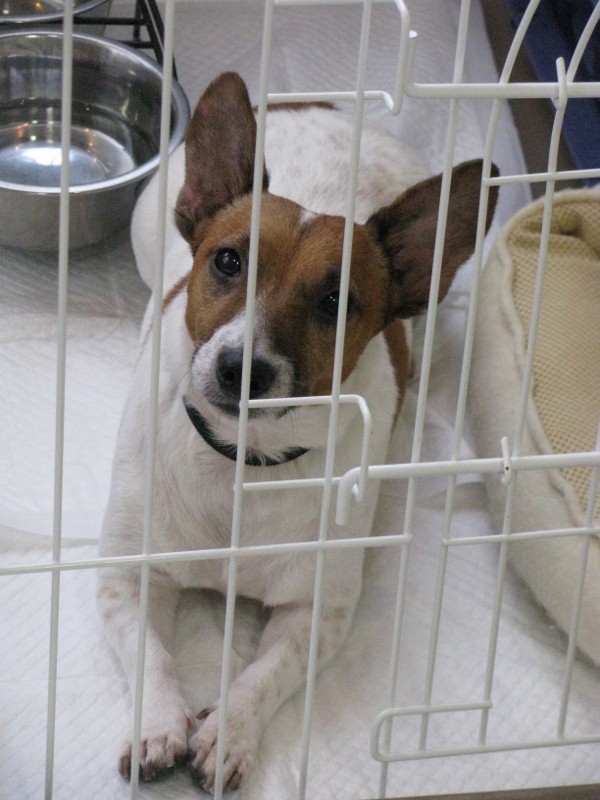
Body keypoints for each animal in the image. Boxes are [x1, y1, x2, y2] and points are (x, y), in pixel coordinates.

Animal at [97, 72, 498, 792]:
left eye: (336, 302)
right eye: (228, 262)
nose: (241, 368)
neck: (241, 461)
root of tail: (317, 105)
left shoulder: (315, 613)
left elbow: (263, 675)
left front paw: (228, 733)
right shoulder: (127, 575)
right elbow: (151, 654)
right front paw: (159, 724)